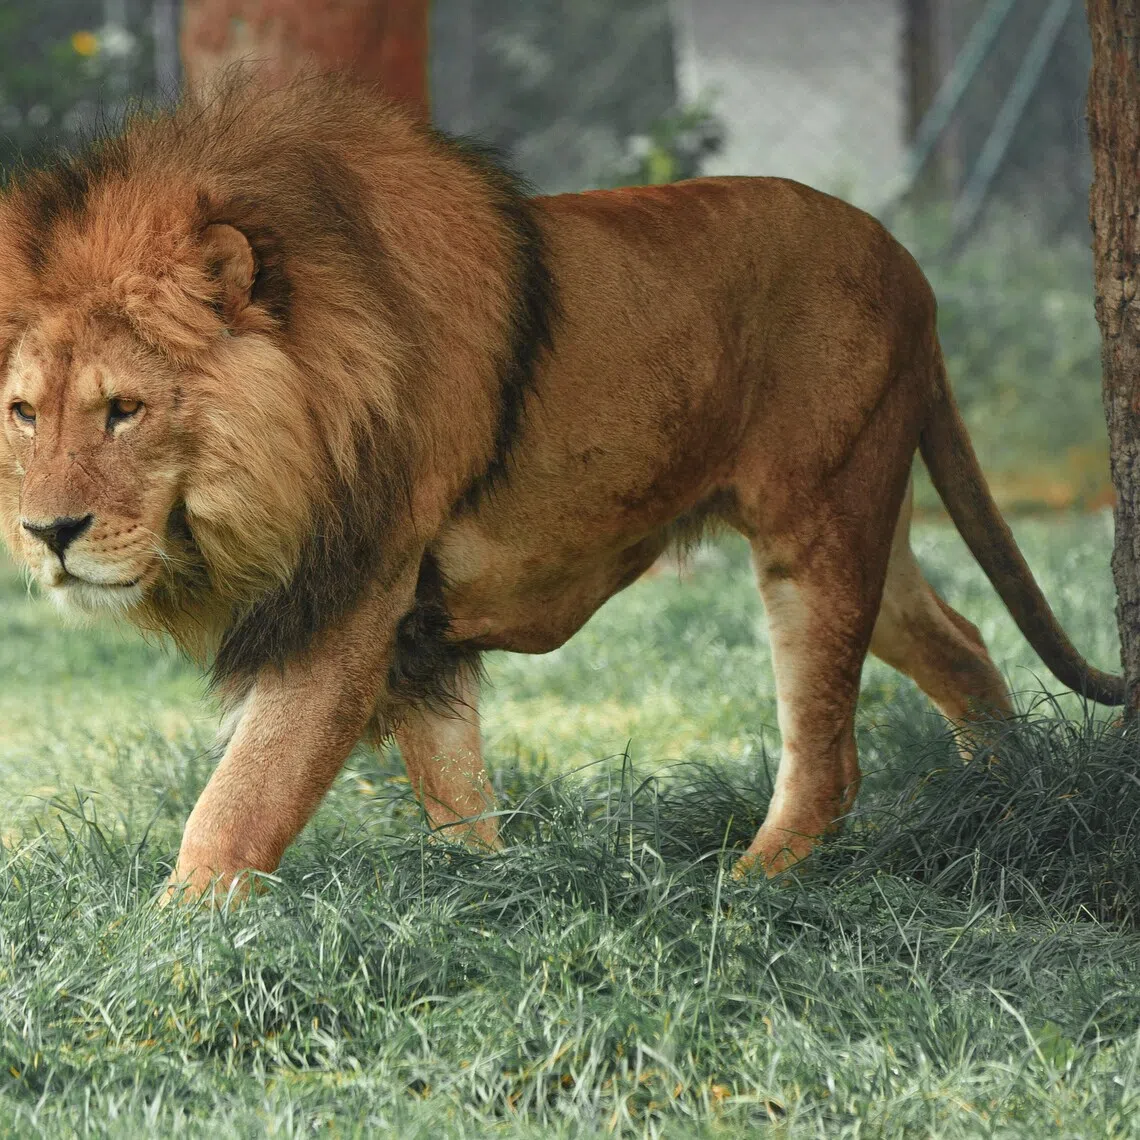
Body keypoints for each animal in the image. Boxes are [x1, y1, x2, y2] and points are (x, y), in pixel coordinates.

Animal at [0, 75, 1121, 898]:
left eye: (124, 410)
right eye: (23, 413)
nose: (48, 533)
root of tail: (909, 264)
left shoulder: (354, 596)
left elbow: (244, 797)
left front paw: (173, 940)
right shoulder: (413, 627)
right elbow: (454, 787)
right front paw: (489, 897)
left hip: (819, 526)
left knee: (829, 759)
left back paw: (747, 889)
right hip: (861, 522)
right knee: (961, 641)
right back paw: (1004, 801)